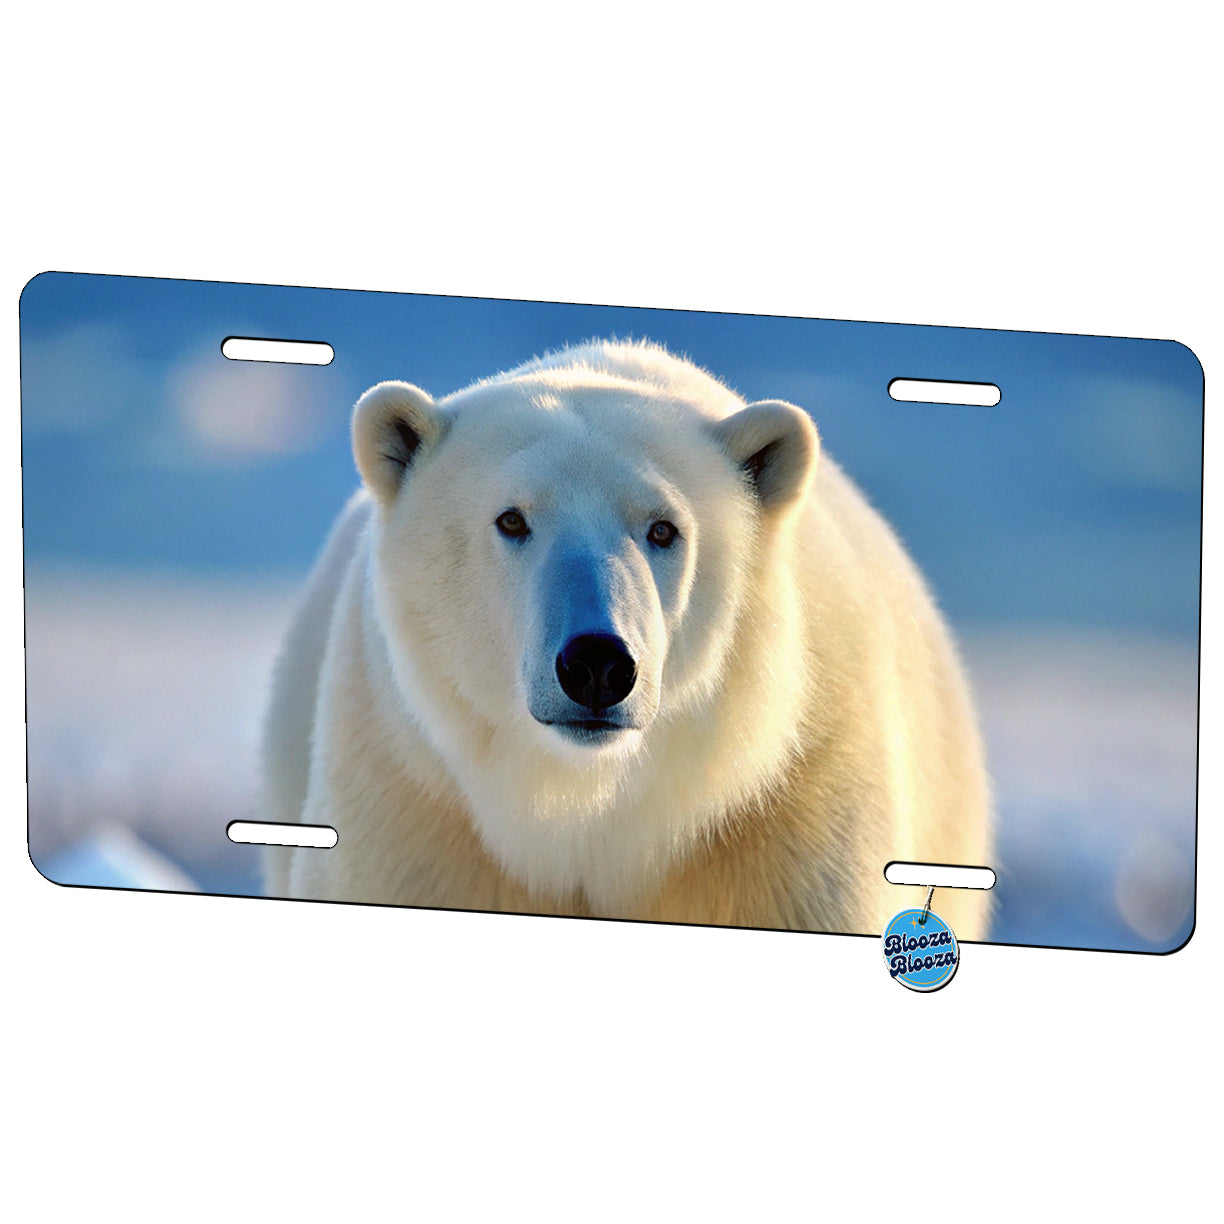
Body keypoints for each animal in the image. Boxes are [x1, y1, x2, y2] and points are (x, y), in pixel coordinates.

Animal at [261, 339, 993, 939]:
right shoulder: (412, 807)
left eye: (664, 528)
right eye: (512, 518)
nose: (596, 664)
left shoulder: (789, 815)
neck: (593, 813)